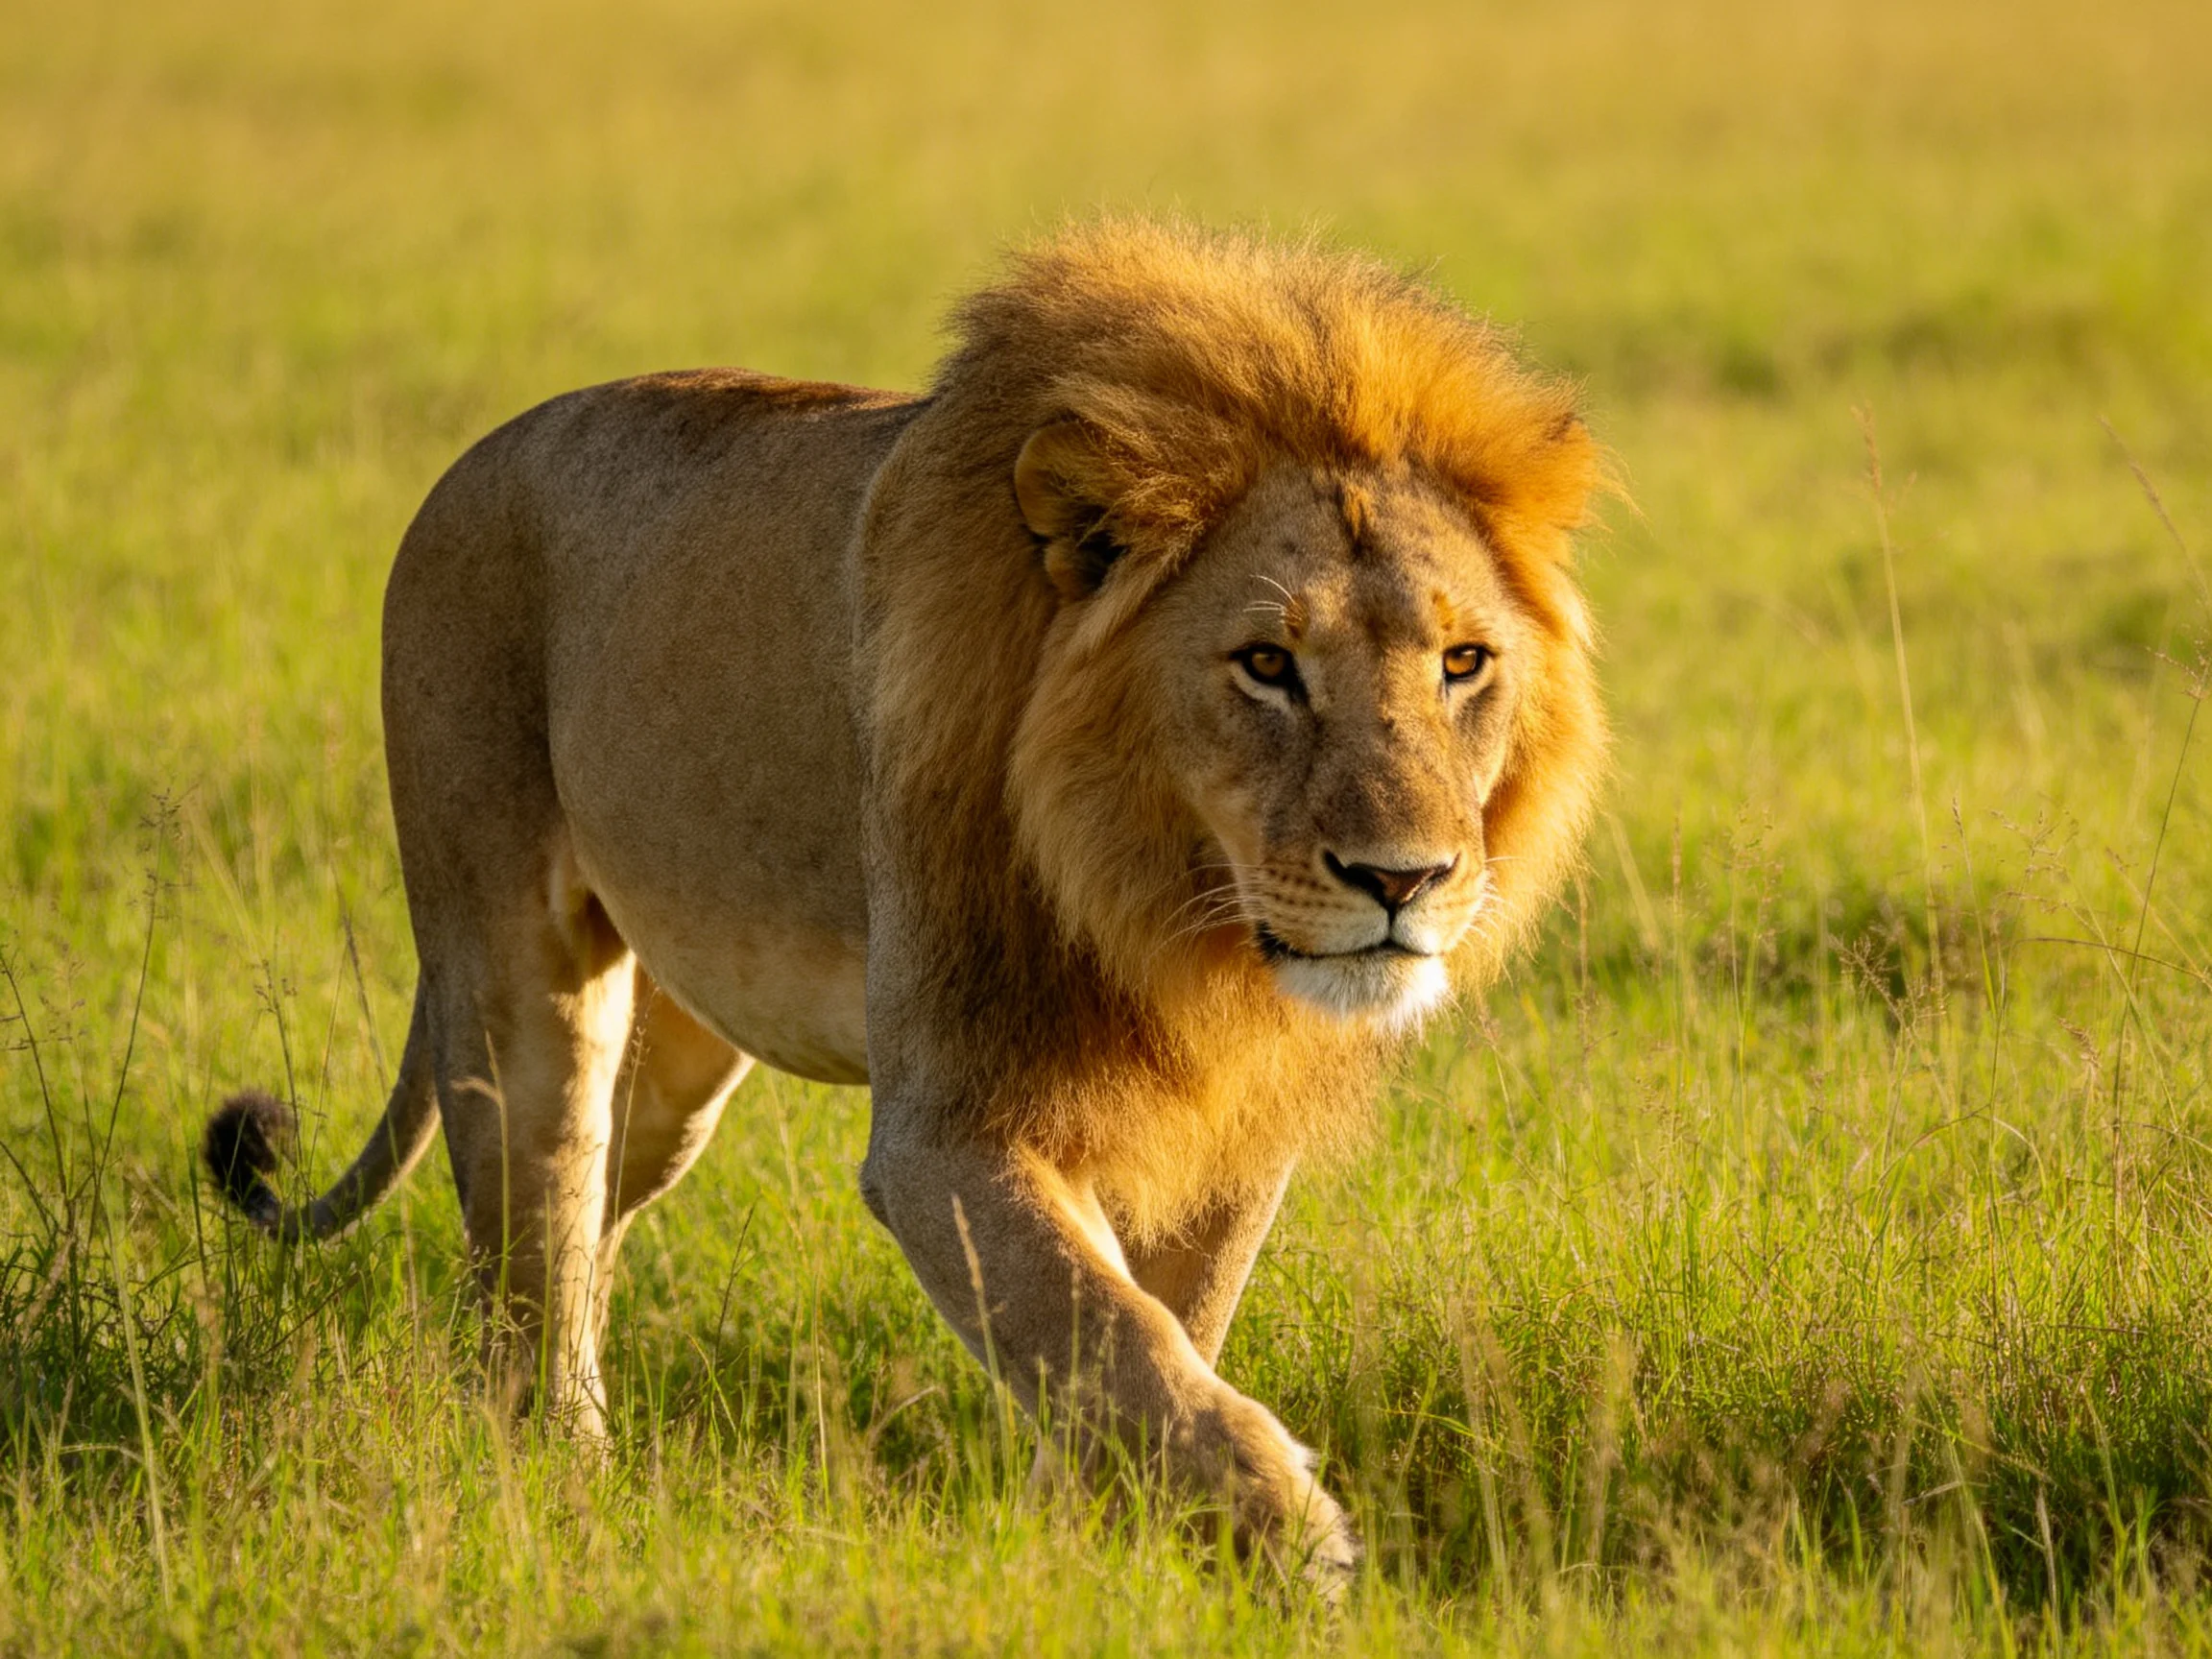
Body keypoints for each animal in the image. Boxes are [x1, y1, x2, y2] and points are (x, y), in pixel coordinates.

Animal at [204, 219, 1605, 1588]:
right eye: (1267, 664)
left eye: (1462, 662)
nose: (1404, 880)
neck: (1164, 912)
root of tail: (477, 456)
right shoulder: (948, 1127)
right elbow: (1099, 1326)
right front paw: (1294, 1534)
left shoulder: (1231, 1123)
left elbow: (1163, 1326)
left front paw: (1081, 1545)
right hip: (514, 970)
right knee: (530, 1235)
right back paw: (563, 1467)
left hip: (676, 1064)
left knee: (587, 1225)